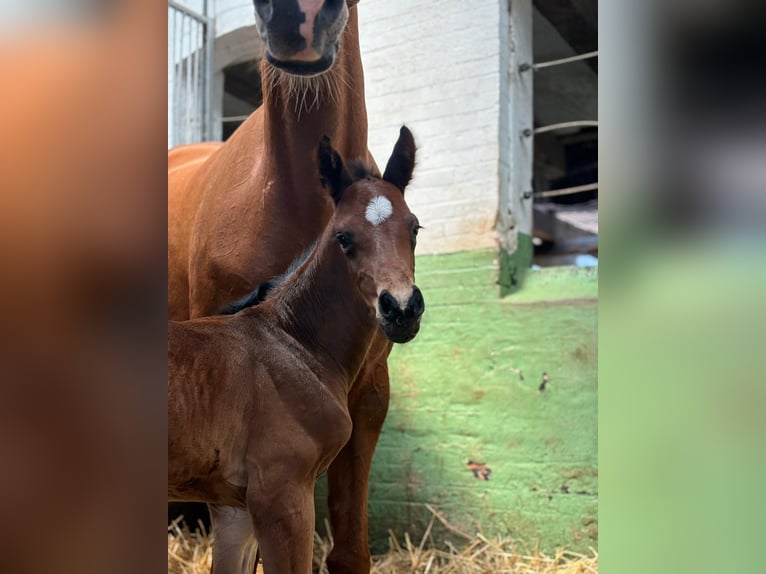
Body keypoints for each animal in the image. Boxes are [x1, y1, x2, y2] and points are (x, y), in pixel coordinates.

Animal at [166, 128, 426, 572]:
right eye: (343, 237)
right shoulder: (281, 494)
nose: (402, 309)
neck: (293, 342)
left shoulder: (234, 510)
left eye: (414, 228)